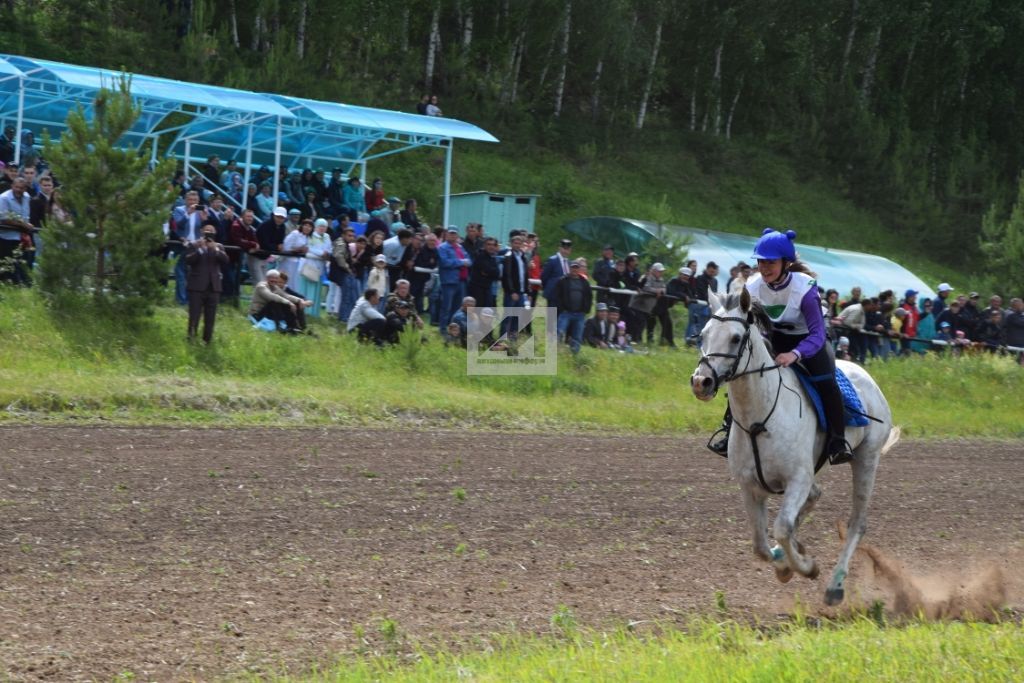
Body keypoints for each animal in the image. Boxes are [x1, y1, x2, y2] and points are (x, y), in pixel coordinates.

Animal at [692, 288, 901, 602]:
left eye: (736, 338)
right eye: (703, 335)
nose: (701, 381)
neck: (760, 417)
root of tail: (866, 377)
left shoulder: (797, 479)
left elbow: (781, 528)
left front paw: (806, 567)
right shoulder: (750, 485)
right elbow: (760, 545)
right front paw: (784, 563)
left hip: (867, 459)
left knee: (857, 523)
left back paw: (835, 586)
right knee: (815, 496)